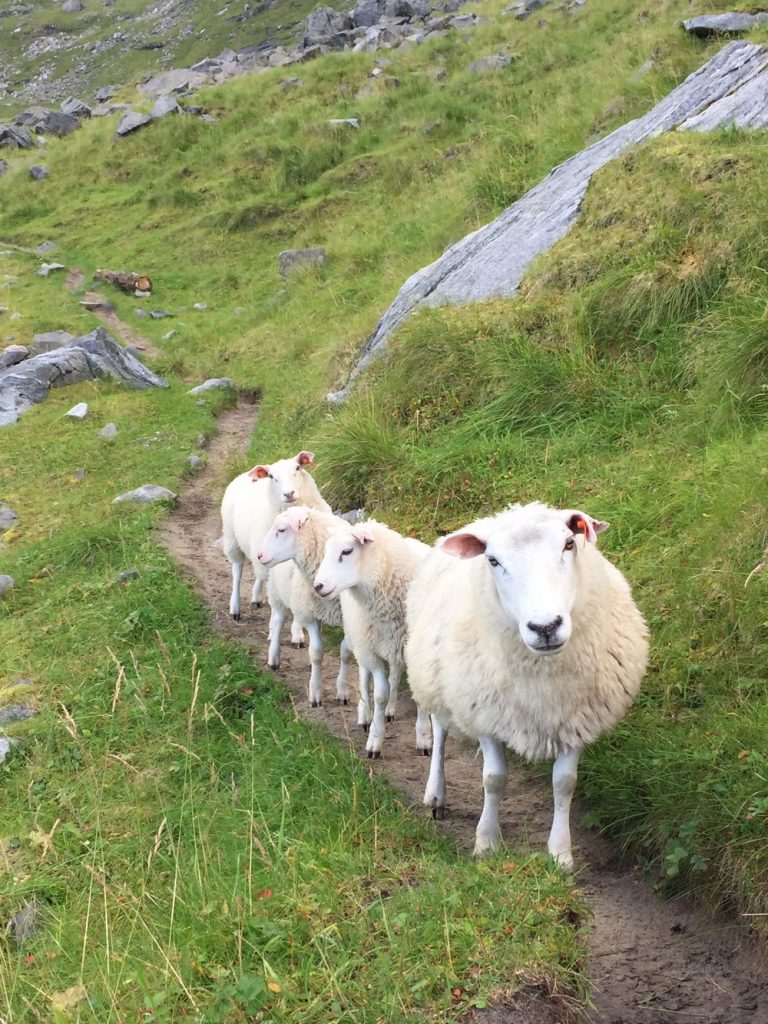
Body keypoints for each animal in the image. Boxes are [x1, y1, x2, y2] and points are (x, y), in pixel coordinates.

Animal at [221, 454, 331, 638]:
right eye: (272, 476)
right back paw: (235, 607)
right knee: (237, 571)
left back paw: (256, 597)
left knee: (259, 576)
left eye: (297, 468)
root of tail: (245, 474)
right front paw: (275, 630)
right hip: (232, 538)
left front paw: (297, 631)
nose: (289, 494)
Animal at [257, 505, 356, 712]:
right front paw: (315, 694)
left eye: (281, 529)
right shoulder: (308, 613)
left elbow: (345, 652)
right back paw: (274, 657)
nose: (260, 555)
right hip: (279, 593)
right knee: (278, 622)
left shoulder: (348, 618)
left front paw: (342, 692)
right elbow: (317, 652)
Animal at [313, 524, 434, 757]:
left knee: (395, 675)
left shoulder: (416, 652)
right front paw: (375, 740)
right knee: (364, 677)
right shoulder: (373, 653)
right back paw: (365, 714)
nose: (318, 586)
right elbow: (379, 694)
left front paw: (424, 739)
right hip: (363, 643)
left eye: (347, 551)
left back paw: (390, 709)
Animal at [405, 499, 651, 868]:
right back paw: (436, 794)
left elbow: (564, 783)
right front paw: (486, 843)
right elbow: (494, 779)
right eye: (493, 560)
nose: (545, 627)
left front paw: (560, 855)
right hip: (437, 678)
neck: (543, 679)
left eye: (569, 544)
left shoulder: (576, 718)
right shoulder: (486, 714)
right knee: (441, 730)